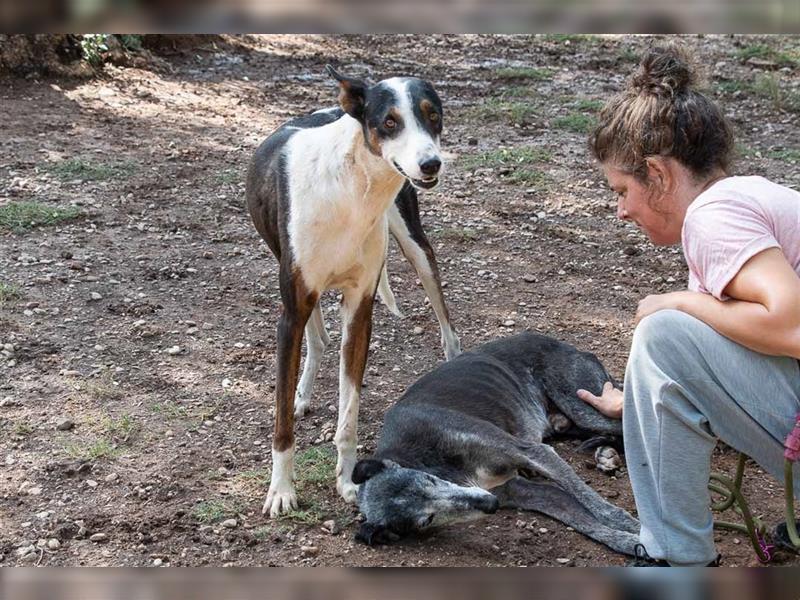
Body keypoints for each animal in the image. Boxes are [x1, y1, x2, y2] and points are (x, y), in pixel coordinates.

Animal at [244, 64, 460, 516]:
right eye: (389, 122)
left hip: (416, 247)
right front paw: (281, 490)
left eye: (432, 115)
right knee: (317, 337)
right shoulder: (292, 310)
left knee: (448, 328)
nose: (430, 163)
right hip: (293, 280)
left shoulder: (360, 311)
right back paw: (302, 394)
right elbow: (281, 422)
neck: (353, 191)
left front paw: (345, 480)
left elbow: (349, 415)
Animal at [354, 330, 640, 556]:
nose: (489, 505)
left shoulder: (531, 451)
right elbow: (584, 521)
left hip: (584, 404)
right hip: (571, 421)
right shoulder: (521, 492)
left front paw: (635, 527)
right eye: (426, 520)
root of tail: (564, 344)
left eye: (429, 480)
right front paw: (630, 542)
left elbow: (595, 503)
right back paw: (606, 454)